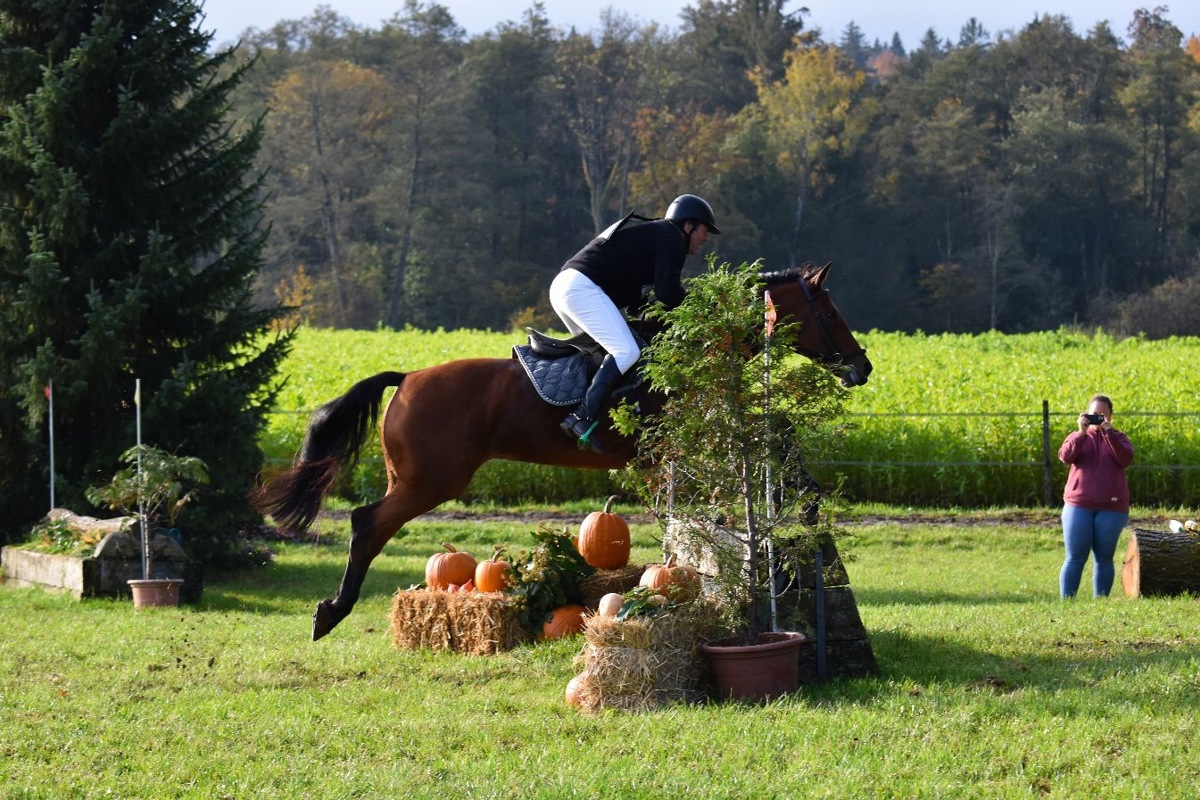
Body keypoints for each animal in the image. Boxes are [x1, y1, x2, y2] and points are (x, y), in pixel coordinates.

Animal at [253, 261, 873, 638]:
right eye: (830, 313)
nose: (863, 368)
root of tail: (406, 378)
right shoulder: (659, 456)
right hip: (431, 480)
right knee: (366, 523)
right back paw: (332, 612)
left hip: (418, 478)